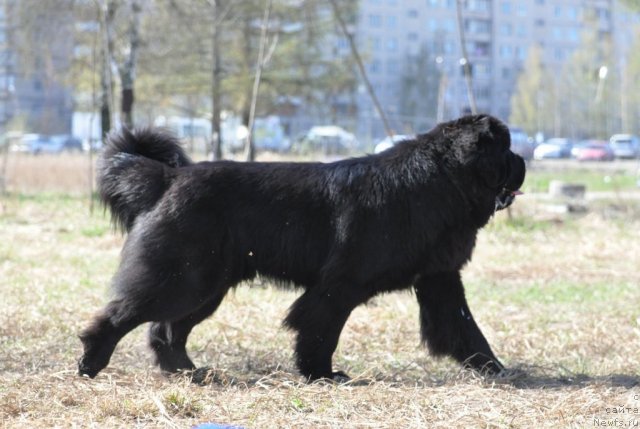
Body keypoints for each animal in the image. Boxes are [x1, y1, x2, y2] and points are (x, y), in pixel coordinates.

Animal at [77, 114, 524, 382]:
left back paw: (189, 372)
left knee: (166, 329)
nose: (522, 159)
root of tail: (168, 178)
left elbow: (464, 328)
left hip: (205, 287)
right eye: (504, 149)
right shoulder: (339, 285)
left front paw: (495, 369)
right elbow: (320, 329)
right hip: (183, 279)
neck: (437, 183)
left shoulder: (439, 279)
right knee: (123, 316)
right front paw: (321, 374)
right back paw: (90, 362)